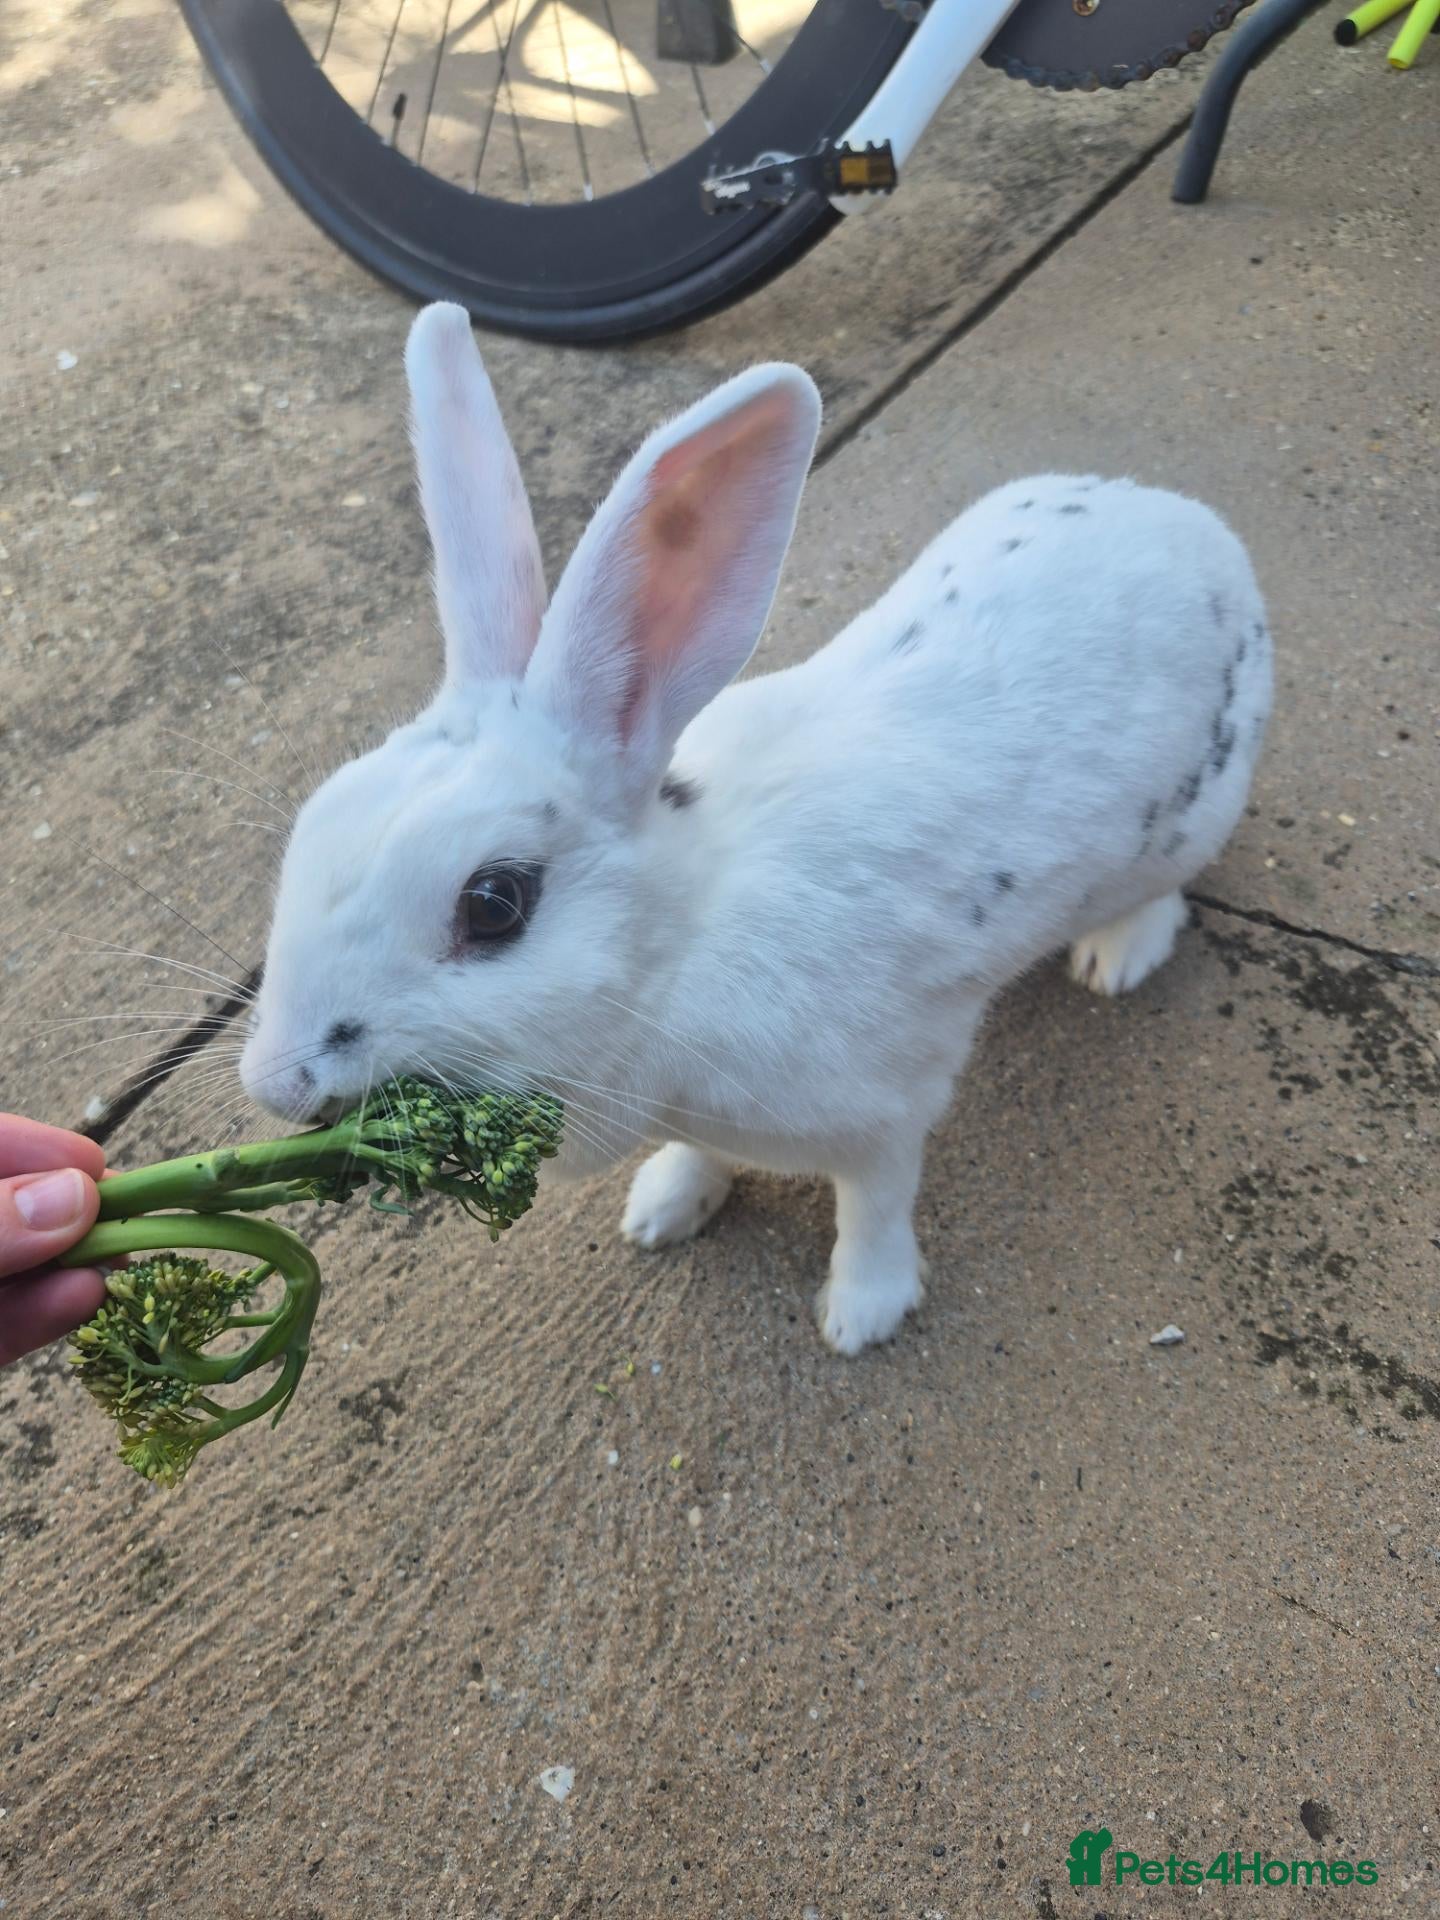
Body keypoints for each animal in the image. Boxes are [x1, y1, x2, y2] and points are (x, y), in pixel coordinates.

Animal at [240, 302, 1272, 1355]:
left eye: (495, 903)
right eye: (318, 817)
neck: (683, 948)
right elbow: (700, 1156)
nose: (278, 1084)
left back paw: (1117, 958)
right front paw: (663, 1211)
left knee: (1163, 895)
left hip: (1192, 821)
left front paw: (861, 1314)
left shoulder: (891, 1109)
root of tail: (1194, 529)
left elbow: (876, 1204)